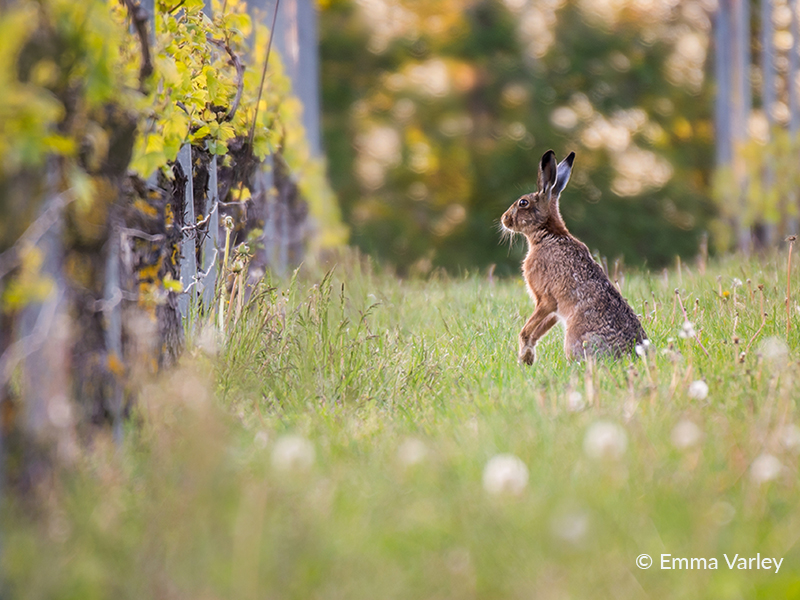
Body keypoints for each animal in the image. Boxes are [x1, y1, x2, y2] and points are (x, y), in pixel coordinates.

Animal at [501, 150, 646, 364]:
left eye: (523, 203)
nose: (504, 219)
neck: (547, 233)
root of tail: (630, 355)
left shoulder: (546, 299)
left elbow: (526, 330)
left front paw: (525, 357)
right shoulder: (553, 309)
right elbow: (538, 330)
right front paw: (527, 358)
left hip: (573, 337)